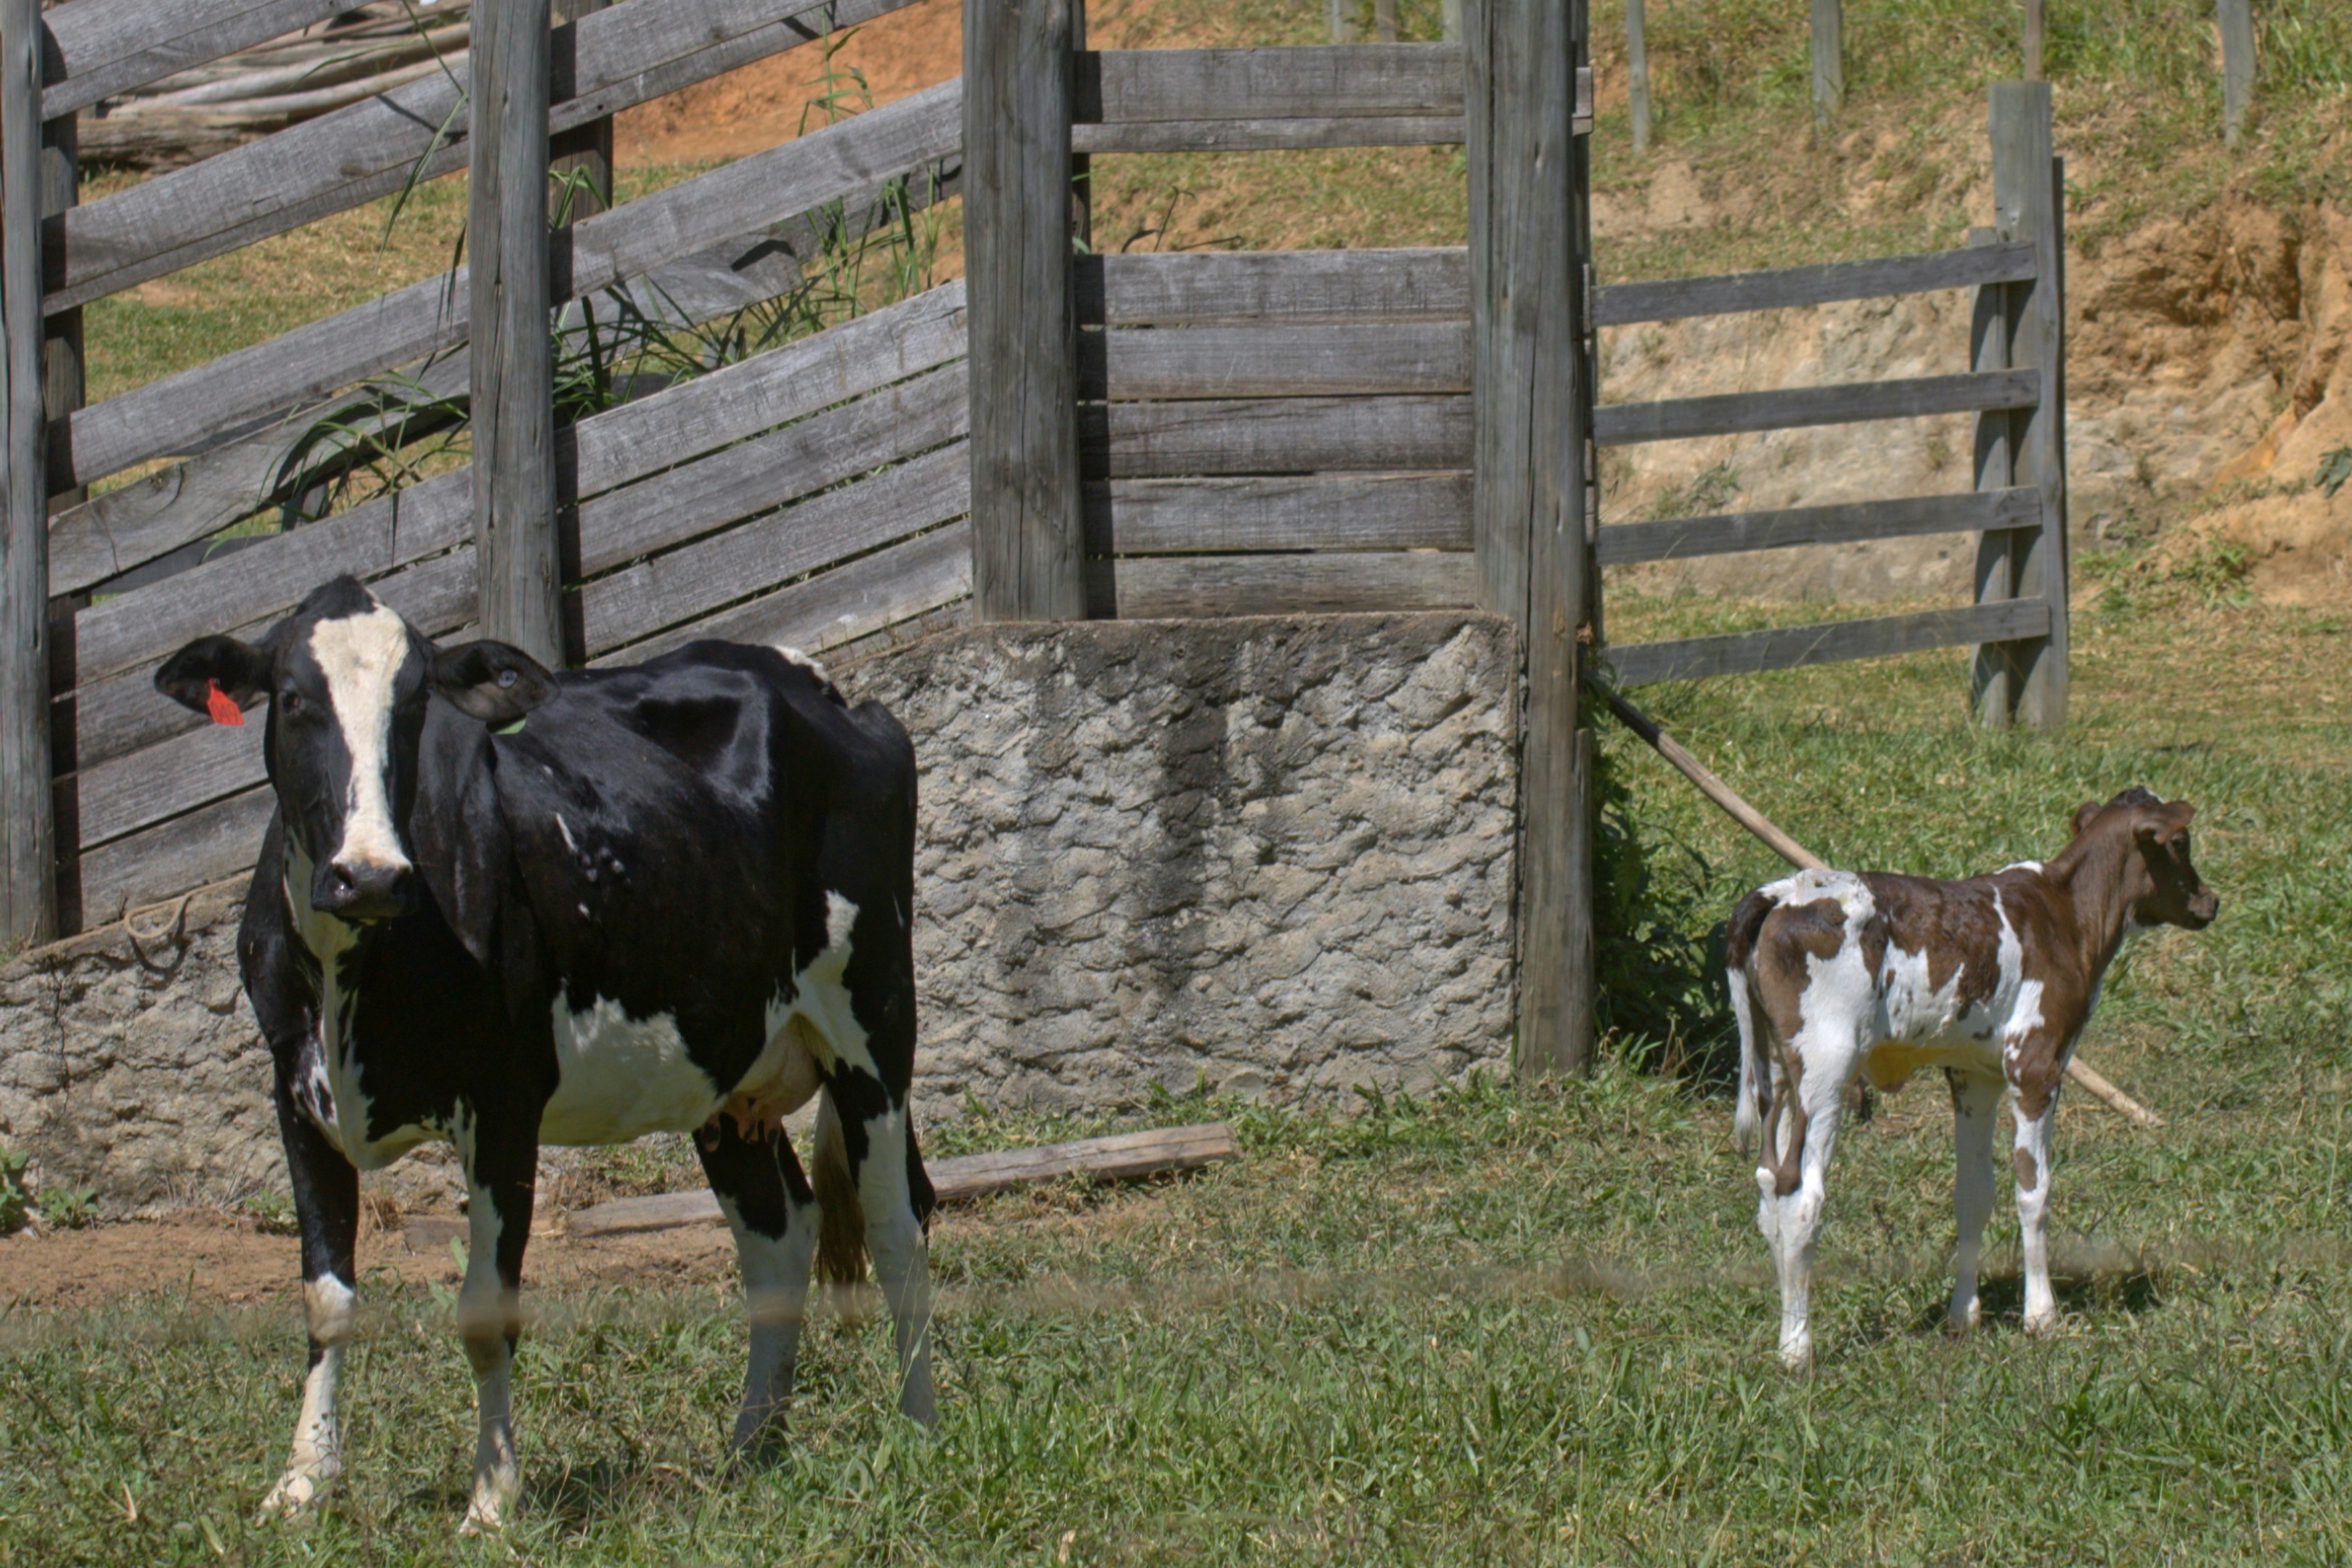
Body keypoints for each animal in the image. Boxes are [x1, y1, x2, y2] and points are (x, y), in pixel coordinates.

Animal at [155, 576, 936, 1531]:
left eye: (414, 707)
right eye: (295, 699)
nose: (368, 874)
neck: (354, 971)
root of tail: (809, 677)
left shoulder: (503, 1102)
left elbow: (486, 1311)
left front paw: (492, 1499)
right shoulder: (295, 1094)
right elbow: (326, 1297)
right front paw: (303, 1483)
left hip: (874, 1015)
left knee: (895, 1221)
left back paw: (917, 1426)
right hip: (726, 1067)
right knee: (779, 1236)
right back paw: (750, 1444)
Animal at [1726, 788, 2217, 1369]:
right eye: (2181, 842)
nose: (2211, 901)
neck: (2067, 914)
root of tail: (1782, 893)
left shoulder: (1973, 1075)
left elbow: (1973, 1194)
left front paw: (1964, 1316)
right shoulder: (2035, 1065)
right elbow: (2033, 1190)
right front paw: (2041, 1317)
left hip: (1776, 1070)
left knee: (1767, 1188)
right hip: (1826, 1067)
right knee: (1800, 1196)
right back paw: (1797, 1349)